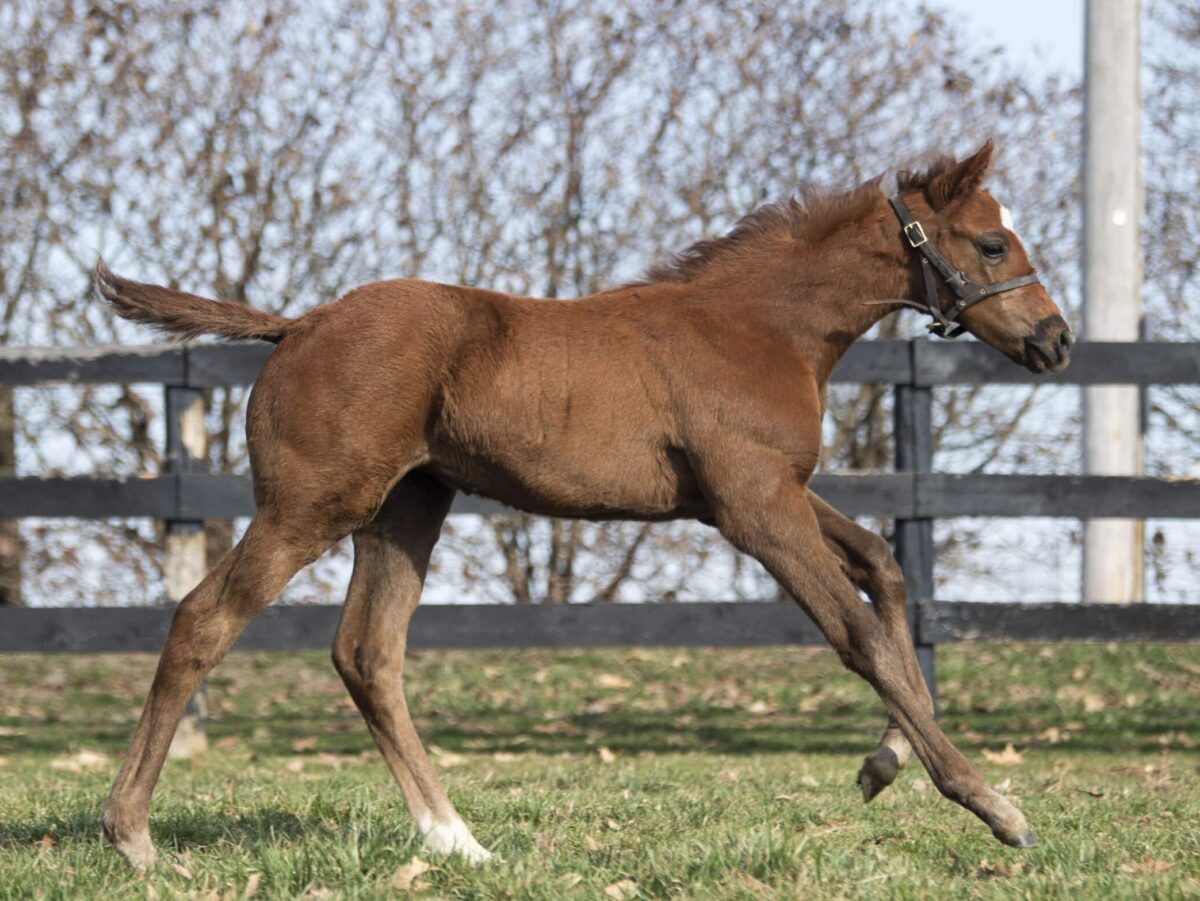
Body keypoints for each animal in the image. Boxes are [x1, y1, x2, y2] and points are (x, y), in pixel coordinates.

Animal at [93, 140, 1070, 868]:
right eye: (992, 245)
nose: (1055, 341)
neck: (758, 326)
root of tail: (297, 325)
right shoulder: (756, 506)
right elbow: (857, 631)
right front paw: (996, 805)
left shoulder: (758, 493)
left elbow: (885, 564)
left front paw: (881, 764)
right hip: (312, 504)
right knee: (204, 618)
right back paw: (131, 833)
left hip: (407, 509)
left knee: (367, 653)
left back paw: (456, 839)